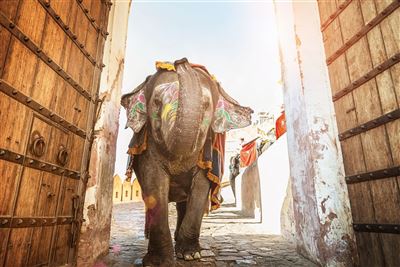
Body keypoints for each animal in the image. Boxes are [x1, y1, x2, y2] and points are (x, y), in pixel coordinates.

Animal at [119, 57, 253, 266]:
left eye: (206, 106)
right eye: (156, 102)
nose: (181, 60)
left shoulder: (207, 156)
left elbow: (201, 188)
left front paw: (191, 255)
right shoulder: (147, 147)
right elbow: (154, 183)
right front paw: (157, 262)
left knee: (184, 201)